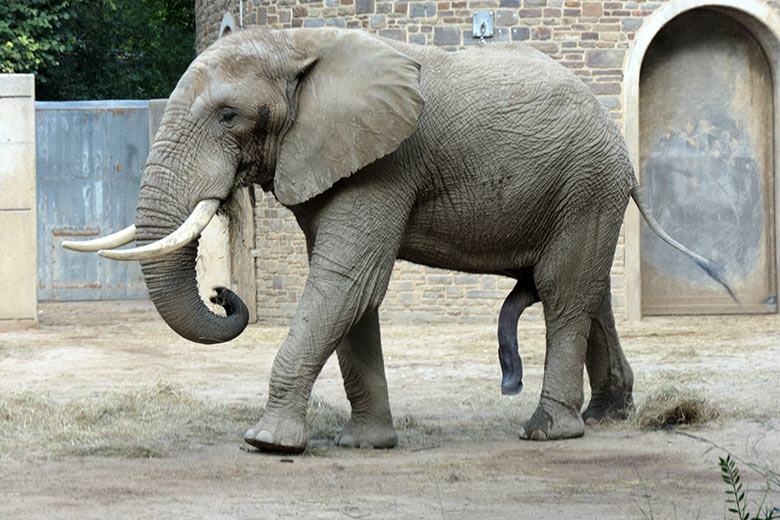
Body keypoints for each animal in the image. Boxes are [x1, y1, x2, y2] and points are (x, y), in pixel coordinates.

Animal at [61, 26, 732, 452]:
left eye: (229, 116)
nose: (225, 296)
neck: (301, 45)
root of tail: (620, 148)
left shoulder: (386, 161)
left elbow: (345, 280)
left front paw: (266, 443)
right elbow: (354, 292)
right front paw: (366, 444)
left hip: (586, 181)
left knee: (565, 292)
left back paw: (548, 431)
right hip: (585, 192)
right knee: (588, 291)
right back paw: (606, 416)